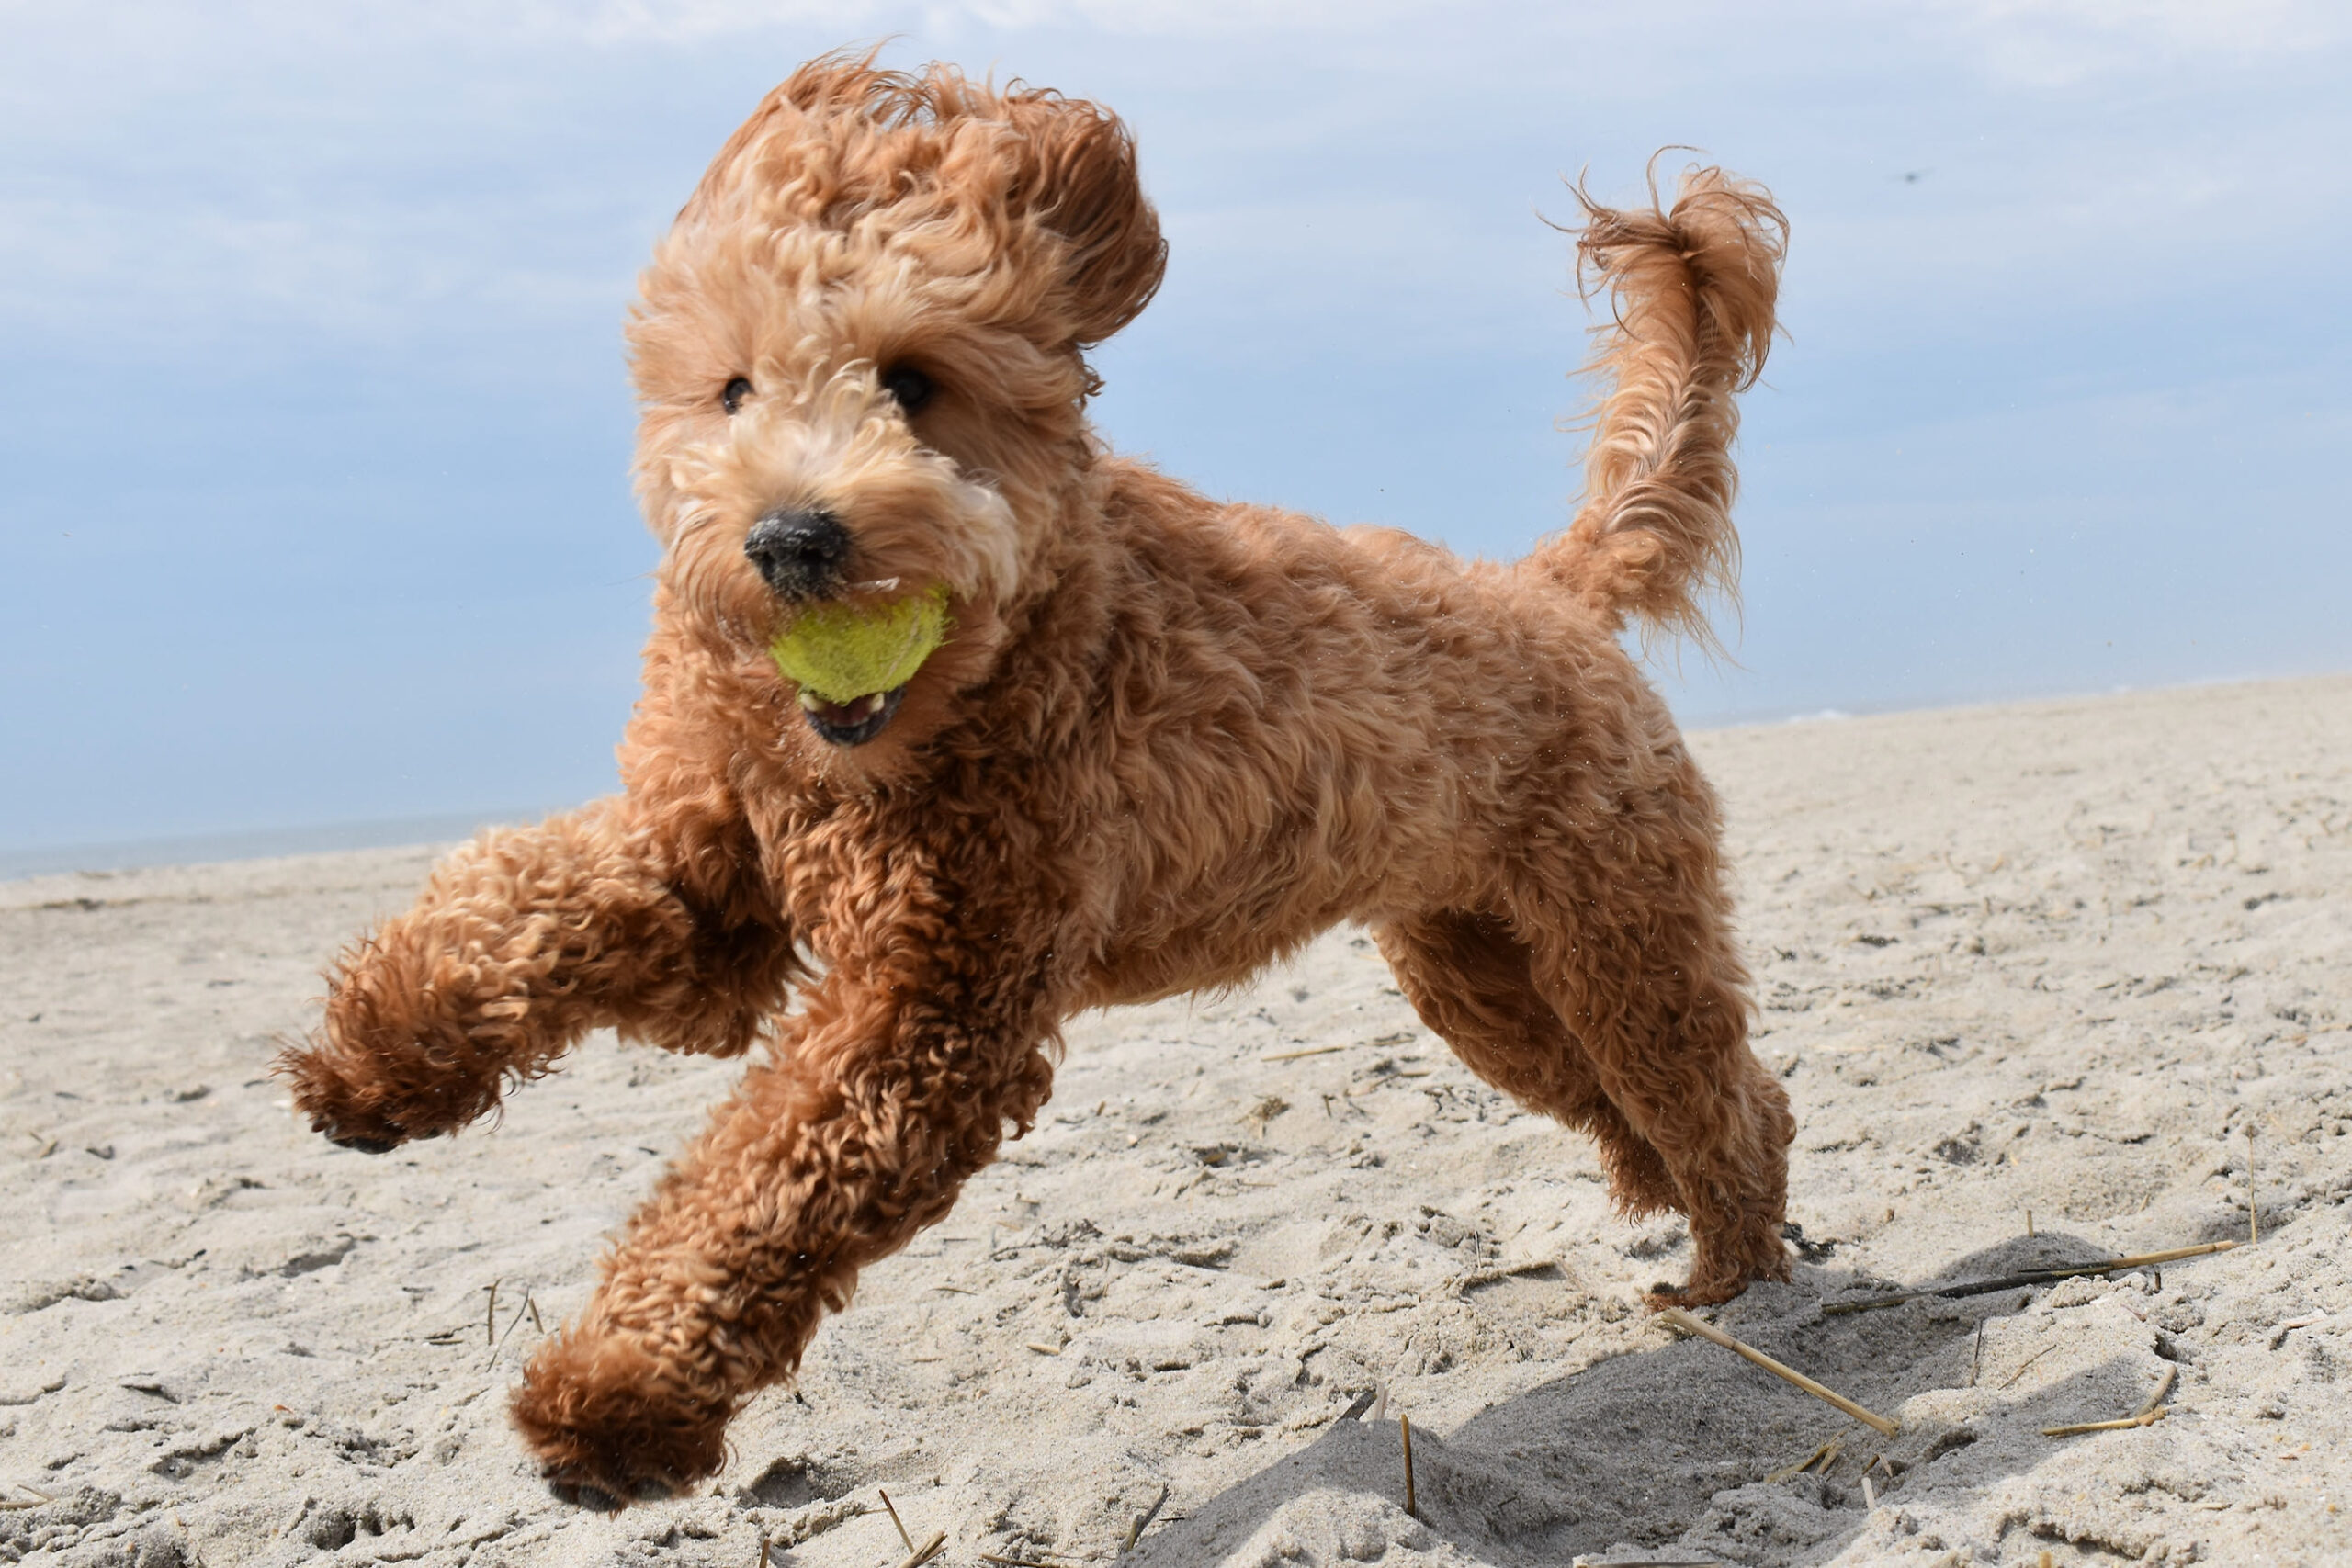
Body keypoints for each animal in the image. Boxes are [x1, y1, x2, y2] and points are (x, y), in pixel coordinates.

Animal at [275, 55, 1787, 1504]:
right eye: (732, 388)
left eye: (911, 378)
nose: (789, 540)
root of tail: (1547, 587)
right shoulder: (711, 872)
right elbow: (522, 901)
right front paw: (377, 1054)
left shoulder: (936, 1002)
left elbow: (759, 1188)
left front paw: (616, 1396)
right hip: (1481, 970)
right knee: (1625, 1095)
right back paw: (1668, 1210)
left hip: (1616, 933)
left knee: (1724, 1093)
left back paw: (1733, 1273)